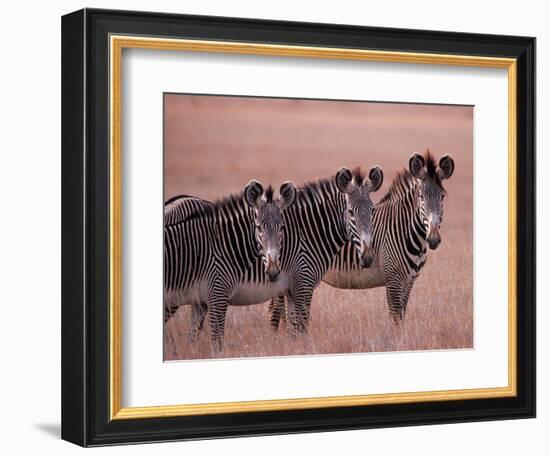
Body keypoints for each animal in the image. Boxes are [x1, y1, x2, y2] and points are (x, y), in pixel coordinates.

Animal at [183, 166, 386, 336]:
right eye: (350, 212)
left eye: (372, 211)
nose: (368, 258)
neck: (307, 233)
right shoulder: (303, 284)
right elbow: (301, 329)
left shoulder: (291, 289)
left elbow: (292, 330)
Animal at [270, 152, 458, 328]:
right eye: (421, 197)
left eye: (442, 197)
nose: (433, 239)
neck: (404, 230)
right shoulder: (393, 280)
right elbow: (395, 318)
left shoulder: (409, 281)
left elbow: (402, 316)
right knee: (276, 309)